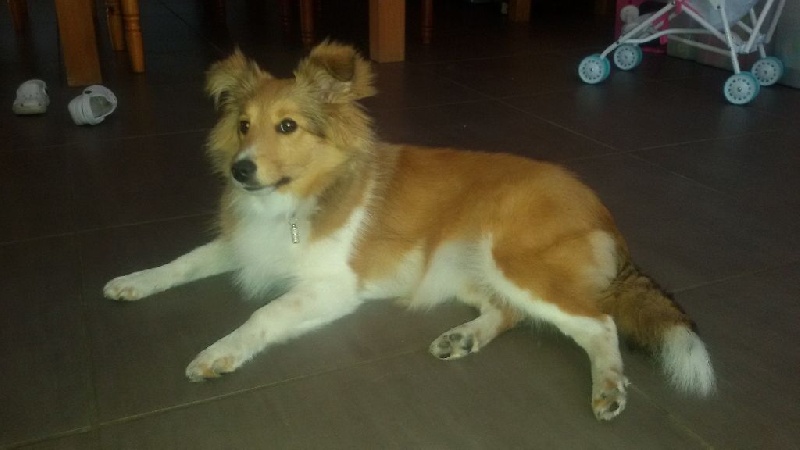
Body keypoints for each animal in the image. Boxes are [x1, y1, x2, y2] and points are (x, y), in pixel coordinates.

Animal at [103, 42, 714, 420]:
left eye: (288, 126)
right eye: (243, 125)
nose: (240, 170)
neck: (300, 196)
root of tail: (602, 212)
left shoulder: (333, 287)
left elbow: (264, 314)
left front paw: (219, 353)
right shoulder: (247, 243)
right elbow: (183, 261)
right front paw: (133, 281)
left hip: (514, 260)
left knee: (599, 324)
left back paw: (609, 387)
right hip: (463, 267)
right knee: (512, 313)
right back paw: (463, 337)